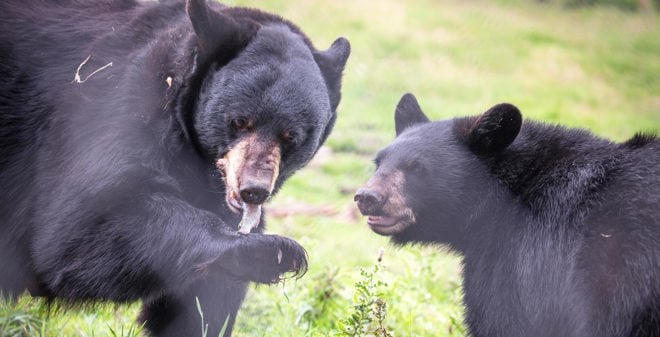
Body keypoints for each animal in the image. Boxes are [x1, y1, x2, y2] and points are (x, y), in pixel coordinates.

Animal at [0, 0, 350, 336]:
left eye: (291, 136)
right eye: (240, 121)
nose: (253, 190)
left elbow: (204, 306)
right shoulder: (113, 110)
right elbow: (76, 232)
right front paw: (271, 251)